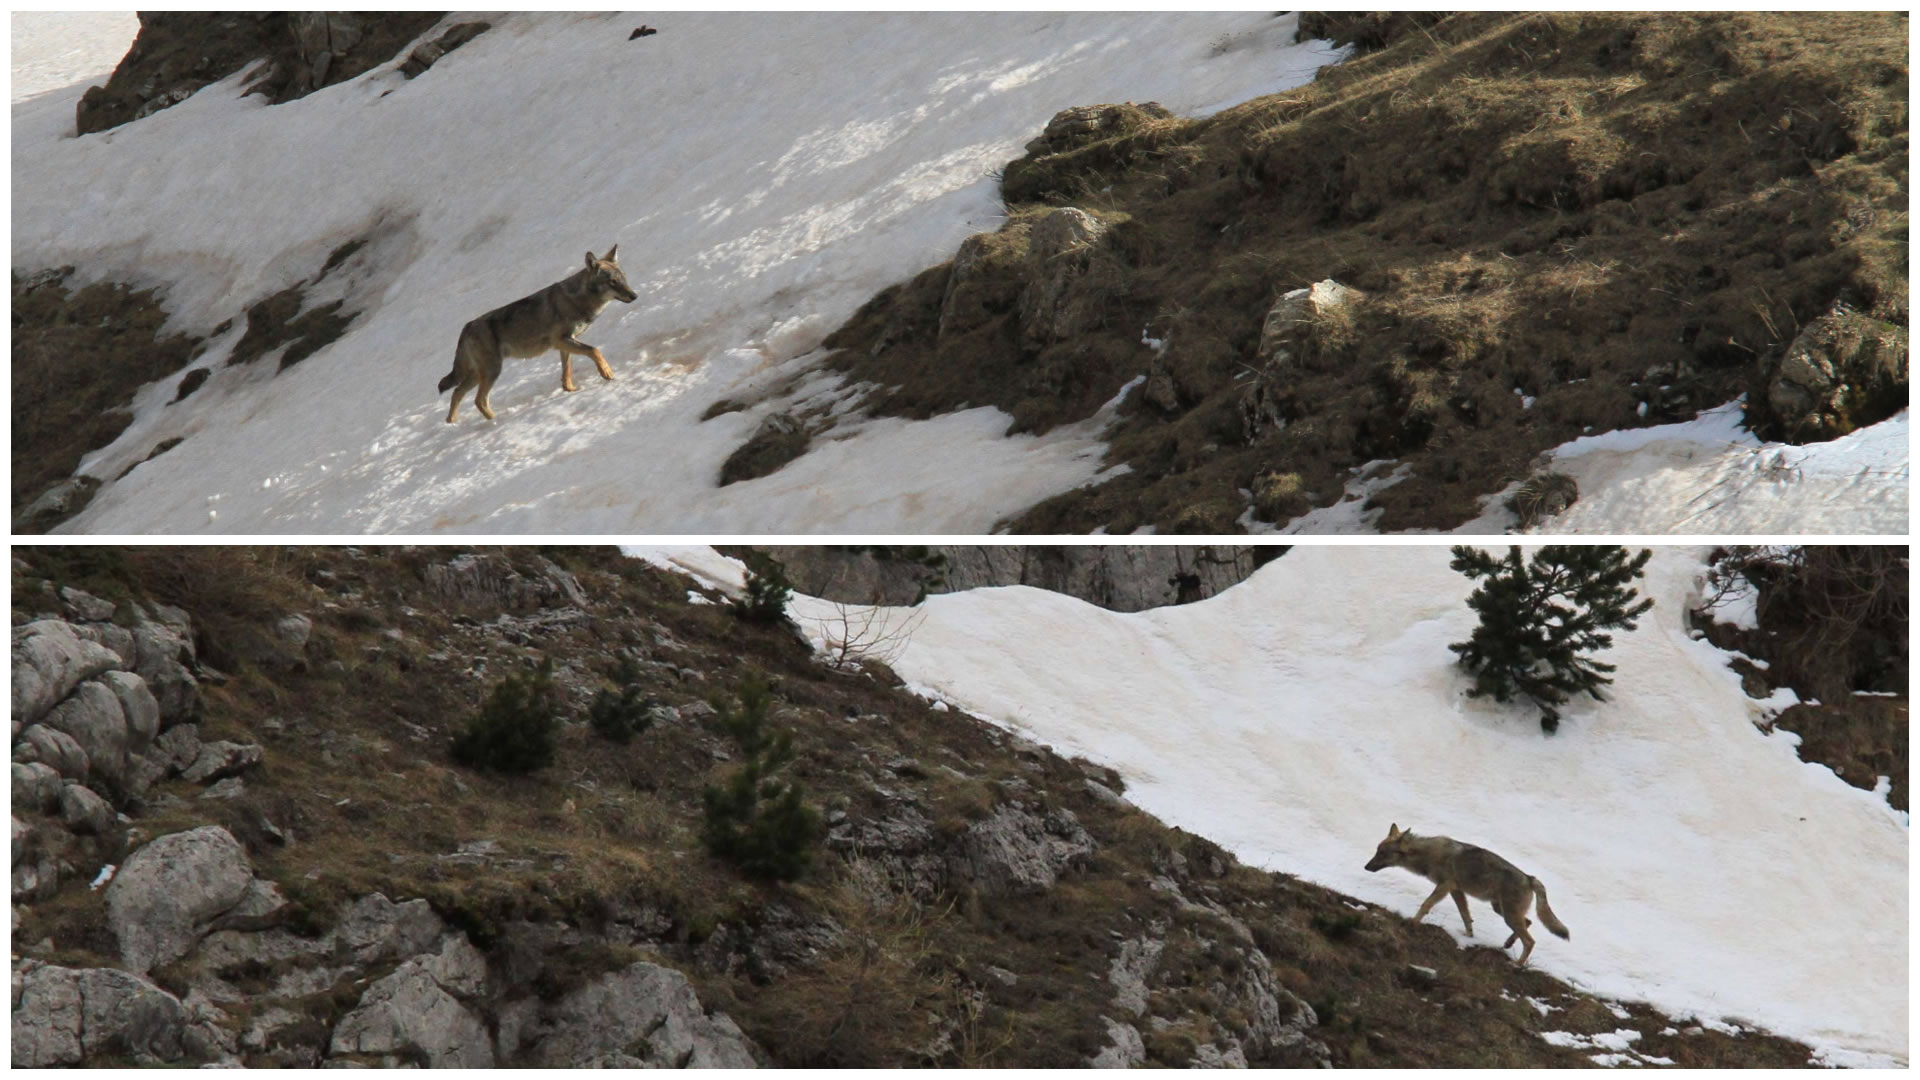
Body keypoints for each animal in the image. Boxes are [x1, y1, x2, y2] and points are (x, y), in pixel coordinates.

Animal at [439, 247, 637, 420]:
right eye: (613, 282)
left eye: (624, 278)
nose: (635, 296)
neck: (577, 300)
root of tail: (466, 327)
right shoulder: (560, 340)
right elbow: (595, 350)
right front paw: (606, 373)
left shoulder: (565, 342)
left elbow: (567, 371)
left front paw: (571, 390)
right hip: (492, 371)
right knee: (478, 400)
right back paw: (496, 421)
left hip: (479, 374)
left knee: (457, 392)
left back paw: (452, 423)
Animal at [1359, 818, 1566, 960]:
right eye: (1377, 851)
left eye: (1382, 853)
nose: (1366, 867)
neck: (1428, 855)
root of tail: (1530, 878)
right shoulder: (1456, 890)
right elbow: (1465, 915)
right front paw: (1468, 936)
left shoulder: (1445, 886)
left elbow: (1426, 904)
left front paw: (1413, 922)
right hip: (1501, 910)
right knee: (1528, 923)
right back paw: (1508, 944)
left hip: (1508, 914)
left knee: (1530, 941)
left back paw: (1518, 965)